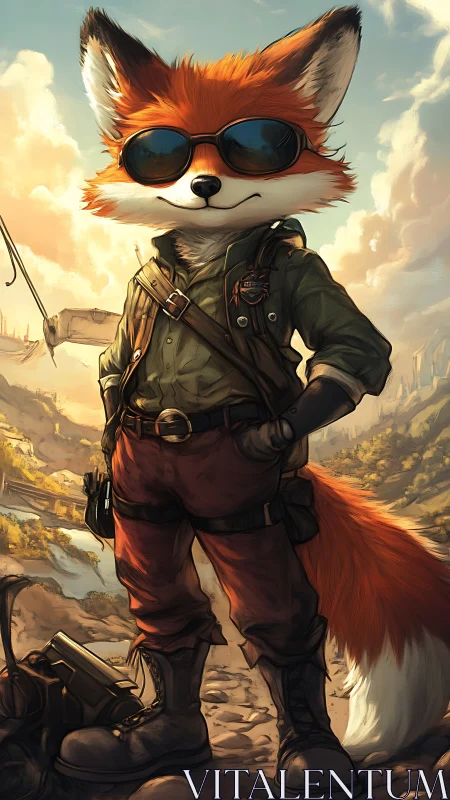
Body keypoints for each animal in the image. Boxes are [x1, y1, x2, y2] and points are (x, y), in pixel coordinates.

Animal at [55, 4, 450, 781]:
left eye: (258, 145)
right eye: (161, 150)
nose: (206, 188)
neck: (208, 256)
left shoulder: (307, 281)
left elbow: (355, 352)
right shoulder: (130, 365)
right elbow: (114, 369)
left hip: (242, 519)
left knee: (281, 627)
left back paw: (312, 753)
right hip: (149, 509)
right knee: (167, 615)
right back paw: (167, 740)